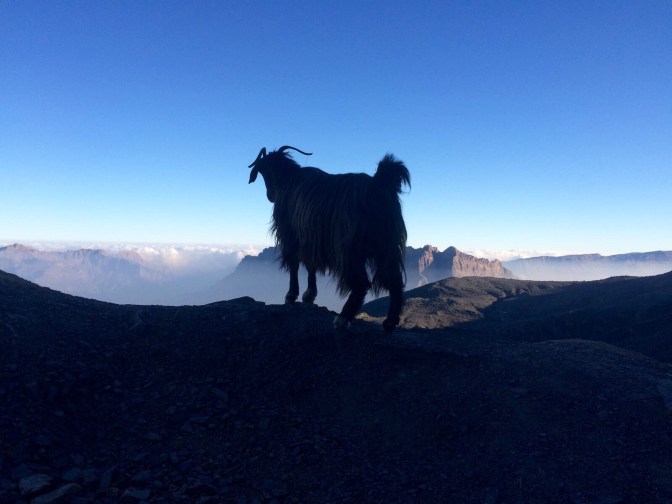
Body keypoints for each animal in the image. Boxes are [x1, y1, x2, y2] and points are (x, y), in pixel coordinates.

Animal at [248, 146, 410, 332]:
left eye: (264, 170)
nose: (271, 196)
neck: (288, 180)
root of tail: (379, 183)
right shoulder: (310, 240)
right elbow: (310, 265)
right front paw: (309, 295)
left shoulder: (291, 235)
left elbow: (294, 264)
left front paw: (291, 295)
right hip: (386, 245)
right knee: (395, 279)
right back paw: (390, 322)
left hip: (349, 249)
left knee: (361, 283)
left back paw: (342, 318)